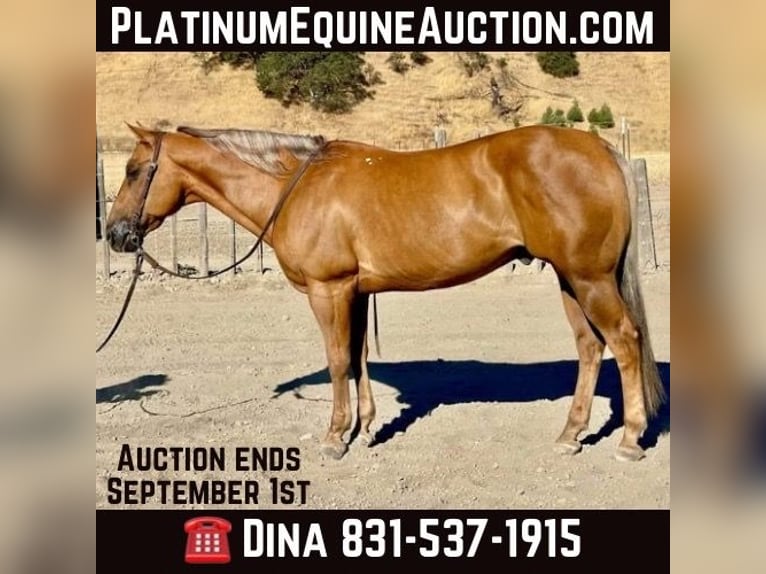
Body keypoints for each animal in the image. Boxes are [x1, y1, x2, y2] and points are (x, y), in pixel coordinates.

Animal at [106, 123, 664, 462]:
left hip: (590, 278)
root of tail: (600, 149)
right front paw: (366, 427)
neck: (295, 187)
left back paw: (630, 439)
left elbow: (336, 361)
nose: (114, 234)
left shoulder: (327, 291)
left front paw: (335, 438)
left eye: (133, 171)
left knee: (624, 340)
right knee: (590, 347)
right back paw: (571, 435)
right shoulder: (353, 291)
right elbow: (357, 359)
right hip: (570, 278)